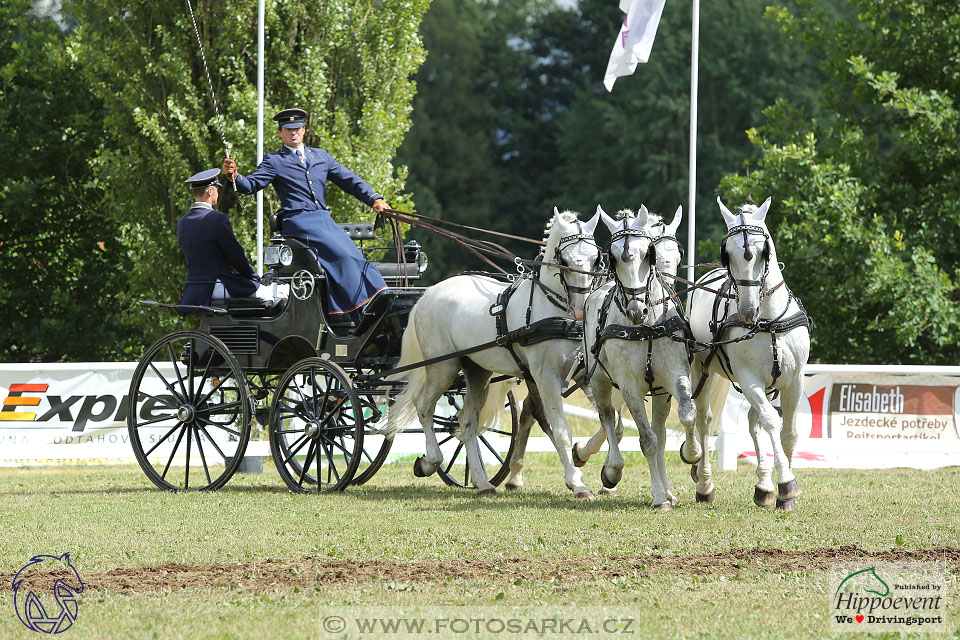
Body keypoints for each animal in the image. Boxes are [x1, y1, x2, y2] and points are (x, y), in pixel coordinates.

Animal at [388, 208, 604, 498]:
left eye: (595, 259)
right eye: (564, 259)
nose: (581, 309)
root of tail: (428, 294)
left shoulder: (585, 375)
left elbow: (613, 423)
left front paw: (584, 457)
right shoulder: (546, 378)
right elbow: (560, 430)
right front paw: (577, 483)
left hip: (477, 372)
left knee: (466, 422)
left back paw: (482, 483)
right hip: (443, 367)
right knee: (423, 406)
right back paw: (429, 462)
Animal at [688, 196, 808, 510]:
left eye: (762, 251)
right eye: (727, 253)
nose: (747, 311)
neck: (769, 320)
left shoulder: (795, 379)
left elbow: (789, 431)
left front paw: (782, 486)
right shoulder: (748, 377)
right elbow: (771, 421)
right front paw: (786, 483)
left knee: (754, 423)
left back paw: (763, 486)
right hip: (700, 371)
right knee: (704, 420)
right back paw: (704, 484)